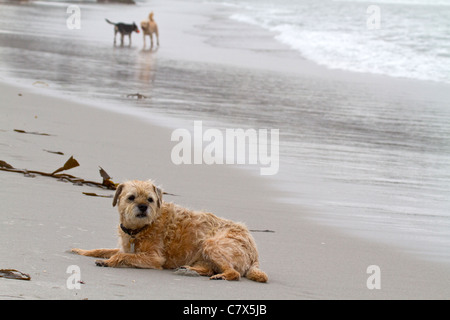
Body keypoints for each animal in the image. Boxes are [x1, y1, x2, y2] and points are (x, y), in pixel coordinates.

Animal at [71, 180, 268, 282]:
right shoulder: (125, 246)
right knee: (208, 269)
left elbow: (123, 256)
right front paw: (82, 251)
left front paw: (109, 261)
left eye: (150, 199)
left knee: (234, 273)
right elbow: (103, 249)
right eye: (131, 197)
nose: (143, 207)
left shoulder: (153, 258)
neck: (140, 229)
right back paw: (188, 270)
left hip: (212, 244)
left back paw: (221, 276)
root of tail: (255, 252)